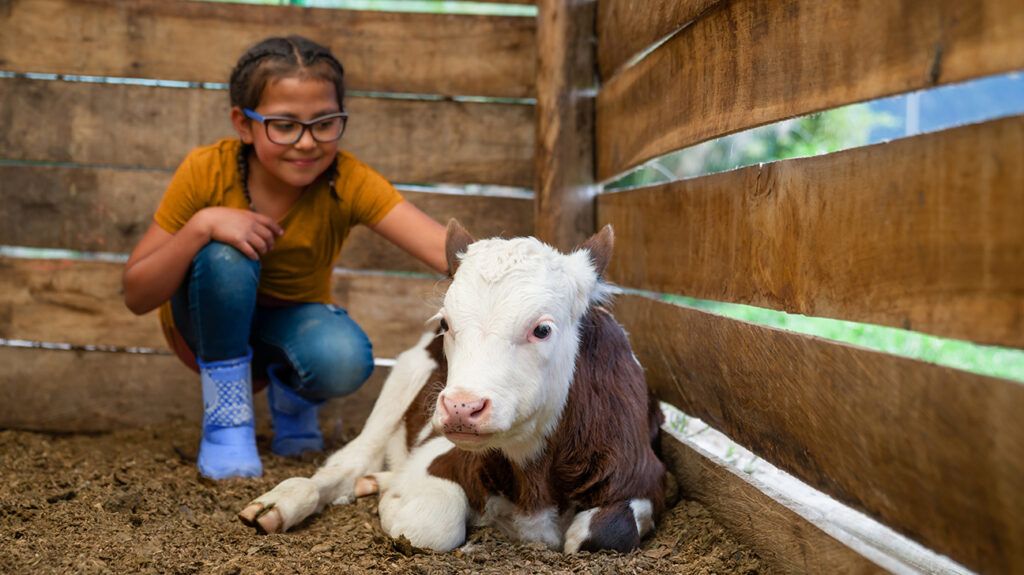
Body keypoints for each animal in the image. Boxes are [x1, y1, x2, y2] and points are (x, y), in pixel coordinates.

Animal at [236, 219, 667, 552]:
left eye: (542, 329)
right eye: (445, 322)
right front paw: (394, 500)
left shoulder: (650, 477)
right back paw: (283, 503)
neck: (535, 479)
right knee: (346, 462)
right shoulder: (439, 453)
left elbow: (605, 533)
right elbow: (429, 525)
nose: (462, 407)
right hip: (401, 381)